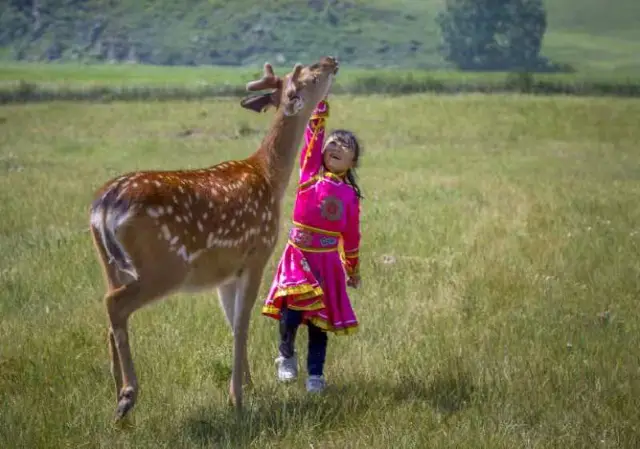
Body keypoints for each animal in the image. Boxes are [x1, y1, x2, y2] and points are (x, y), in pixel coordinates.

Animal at [88, 56, 340, 421]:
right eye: (311, 75)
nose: (330, 60)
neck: (270, 178)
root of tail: (104, 206)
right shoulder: (256, 253)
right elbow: (242, 324)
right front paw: (237, 398)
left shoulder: (226, 272)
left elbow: (231, 322)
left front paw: (249, 385)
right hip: (164, 267)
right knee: (114, 305)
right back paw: (127, 395)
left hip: (110, 263)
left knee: (109, 311)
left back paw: (116, 399)